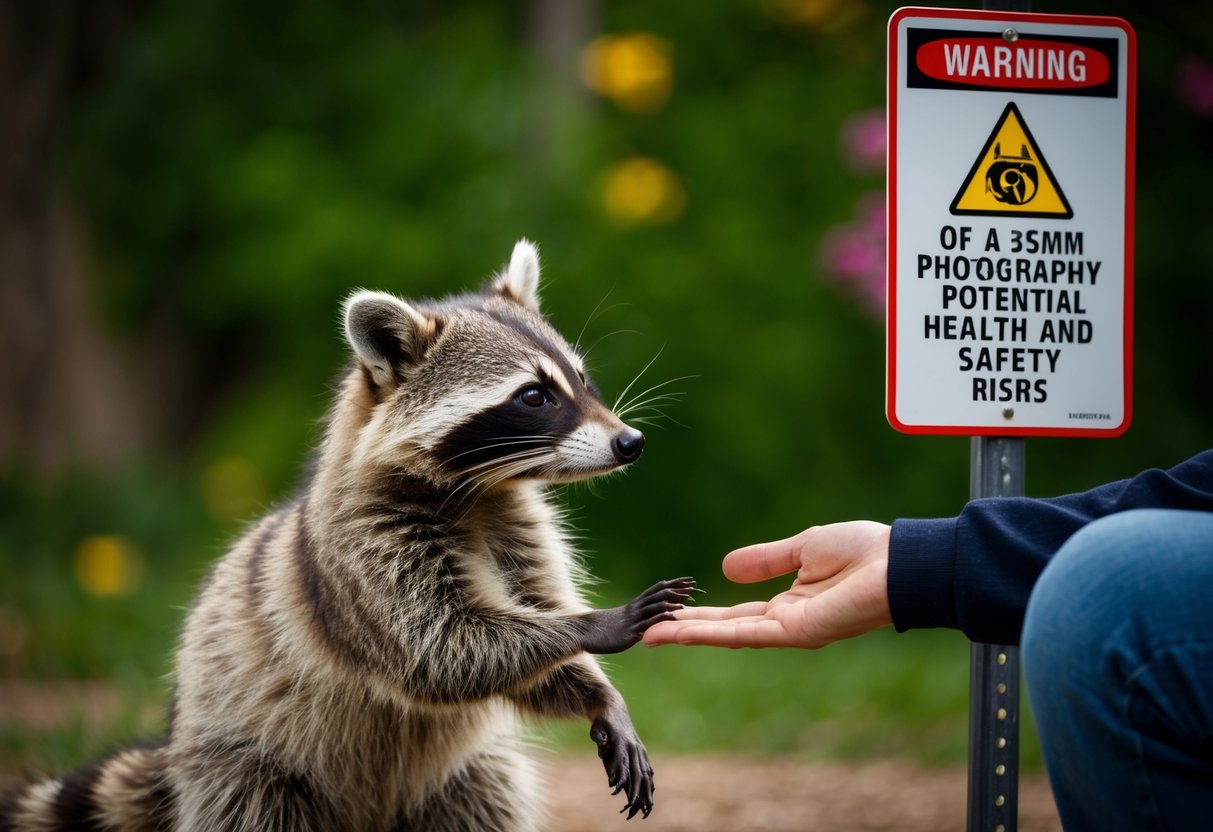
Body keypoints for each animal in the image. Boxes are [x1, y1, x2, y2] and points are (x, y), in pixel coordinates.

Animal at [0, 240, 695, 832]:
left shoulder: (517, 522)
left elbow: (519, 633)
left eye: (581, 379)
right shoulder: (360, 550)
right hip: (244, 766)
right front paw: (593, 625)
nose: (630, 443)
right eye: (532, 396)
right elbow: (439, 647)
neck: (477, 491)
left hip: (464, 777)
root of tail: (174, 750)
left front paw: (597, 690)